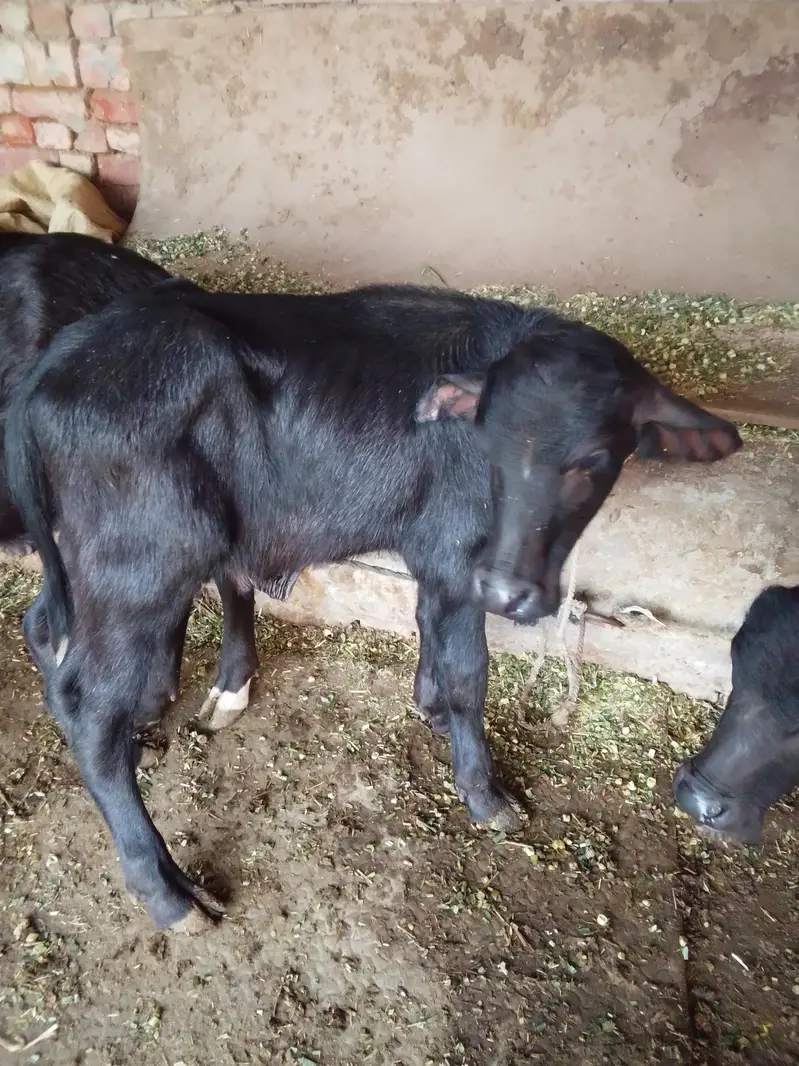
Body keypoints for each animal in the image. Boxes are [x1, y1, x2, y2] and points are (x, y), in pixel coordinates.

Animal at [6, 276, 742, 930]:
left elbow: (429, 633)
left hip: (85, 565)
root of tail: (56, 367)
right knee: (90, 706)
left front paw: (433, 712)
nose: (509, 592)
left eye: (591, 459)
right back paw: (167, 894)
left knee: (45, 633)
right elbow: (469, 670)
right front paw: (484, 791)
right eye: (492, 445)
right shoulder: (456, 557)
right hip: (143, 566)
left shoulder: (438, 564)